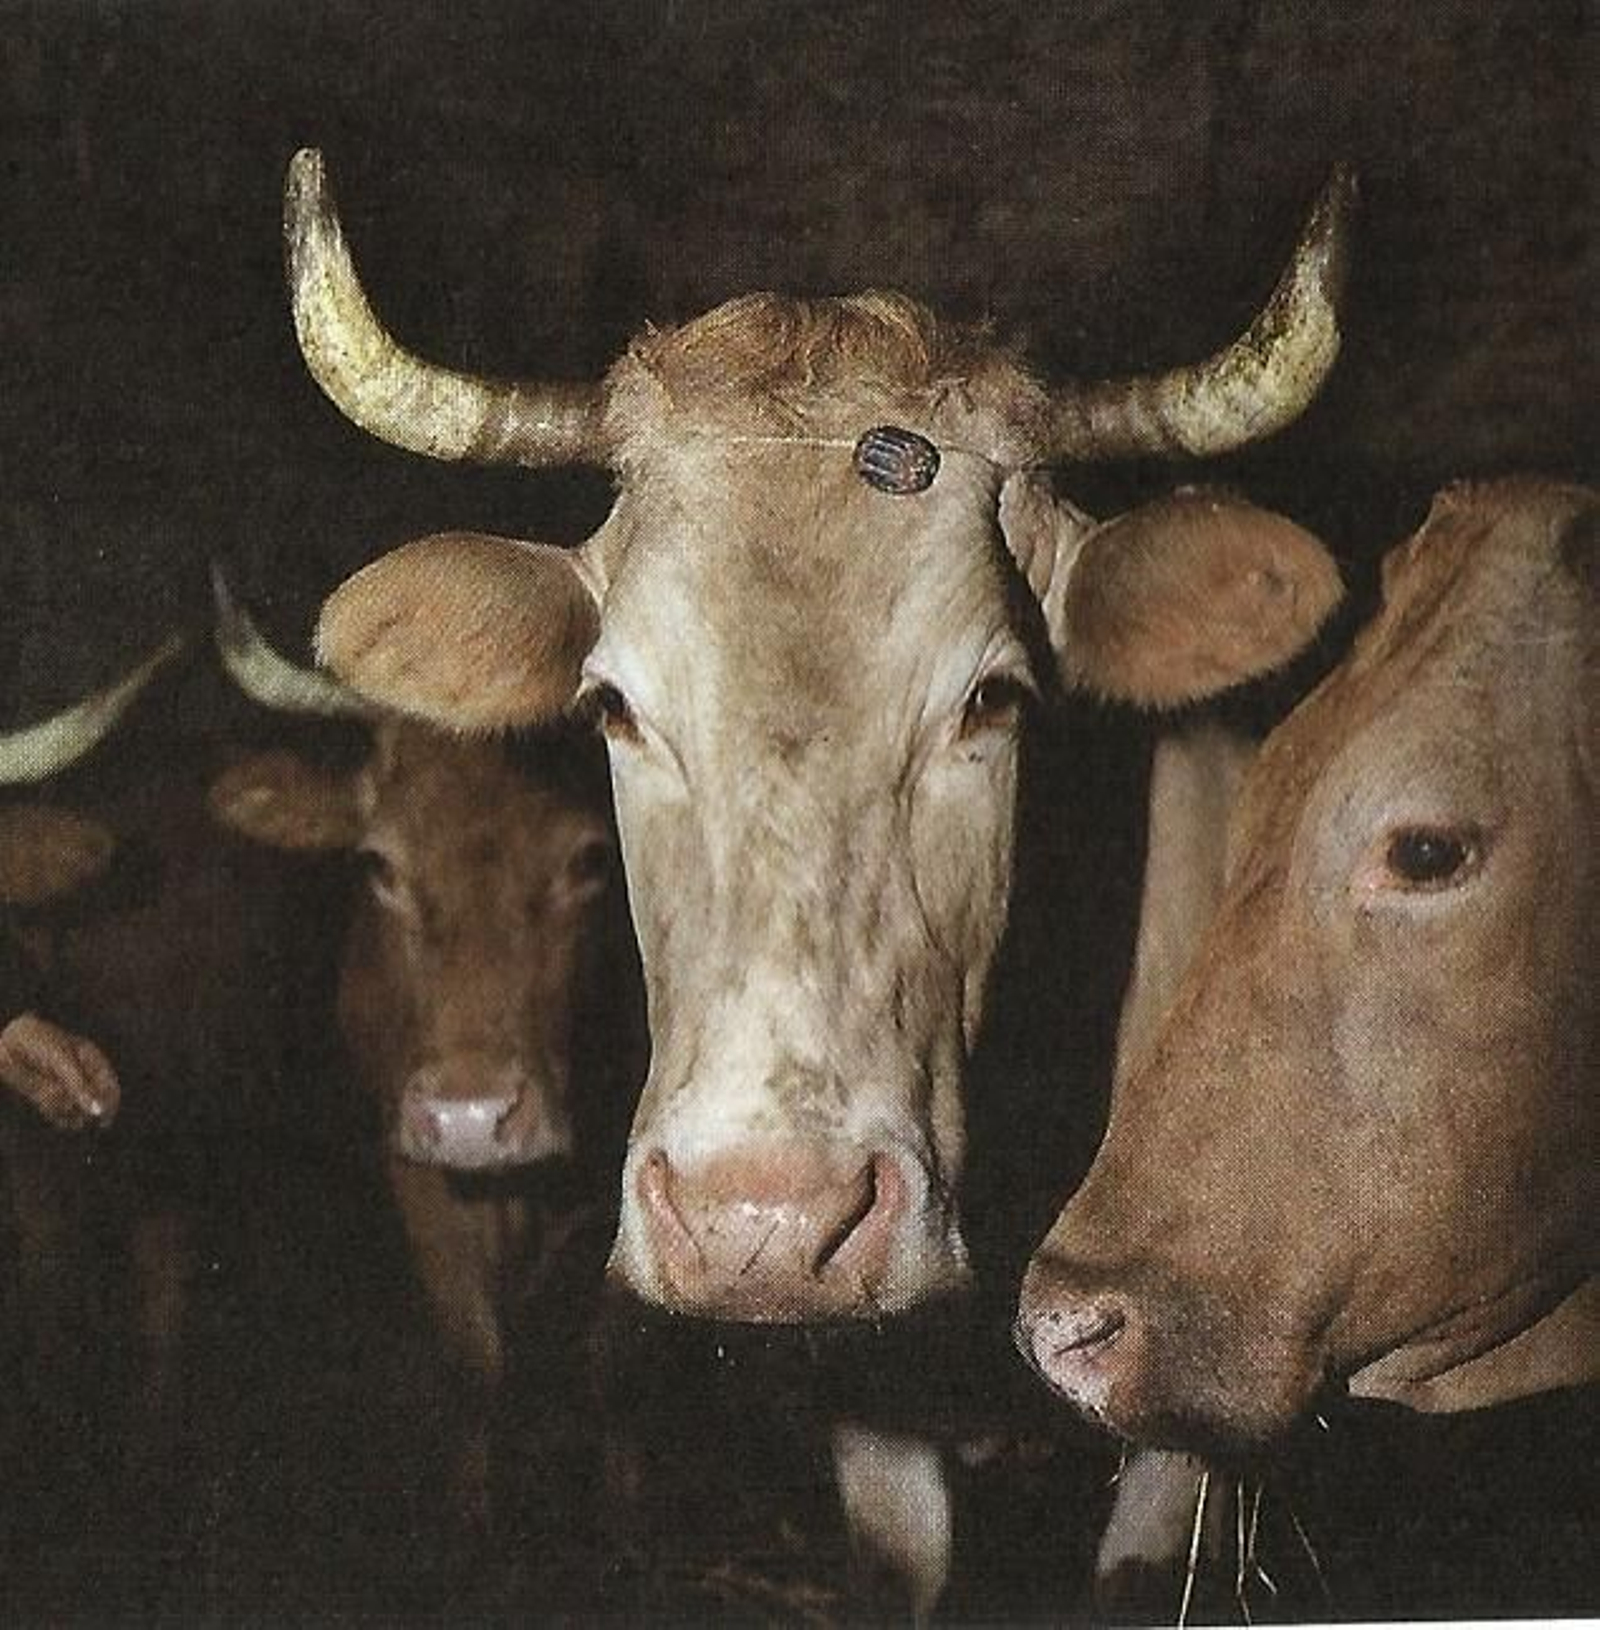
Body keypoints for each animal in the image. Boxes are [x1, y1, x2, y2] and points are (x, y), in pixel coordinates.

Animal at [206, 577, 641, 1536]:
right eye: (379, 865)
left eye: (591, 859)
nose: (473, 1119)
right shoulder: (410, 1162)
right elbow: (474, 1352)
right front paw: (470, 1517)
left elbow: (607, 1361)